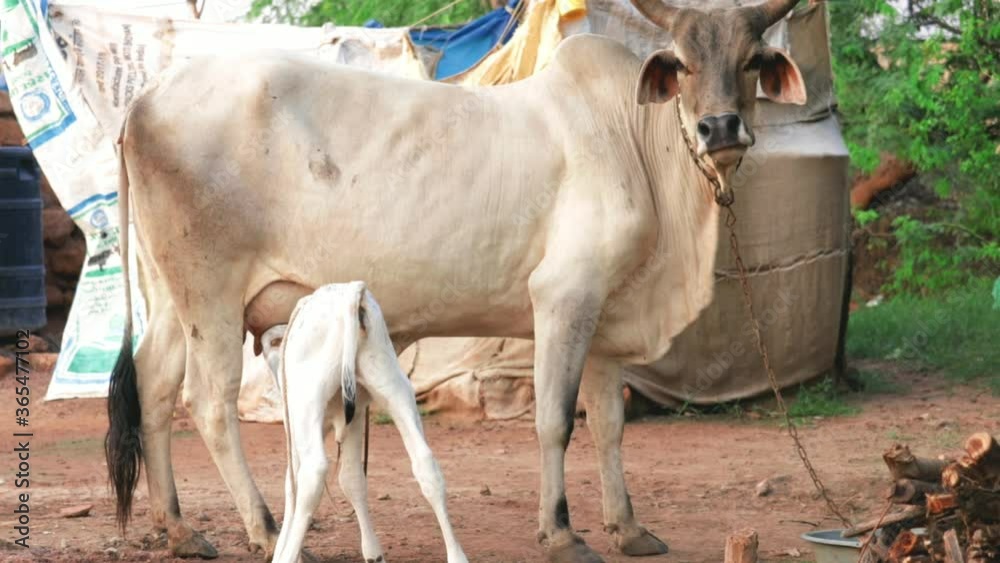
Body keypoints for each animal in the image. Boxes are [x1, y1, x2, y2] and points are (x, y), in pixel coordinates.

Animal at [261, 282, 467, 563]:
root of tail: (352, 291)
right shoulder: (356, 416)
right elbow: (352, 479)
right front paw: (373, 552)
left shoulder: (296, 427)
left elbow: (291, 485)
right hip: (394, 385)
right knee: (426, 463)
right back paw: (456, 555)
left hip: (307, 402)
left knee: (312, 472)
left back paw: (288, 557)